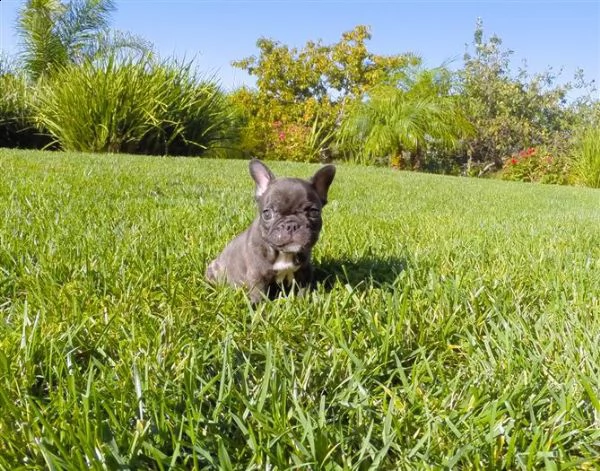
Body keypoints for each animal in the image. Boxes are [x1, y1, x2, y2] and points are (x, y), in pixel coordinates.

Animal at [206, 160, 336, 304]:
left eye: (314, 212)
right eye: (267, 213)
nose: (291, 225)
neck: (284, 253)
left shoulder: (304, 271)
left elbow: (304, 289)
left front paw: (303, 302)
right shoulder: (257, 275)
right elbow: (258, 295)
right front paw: (258, 308)